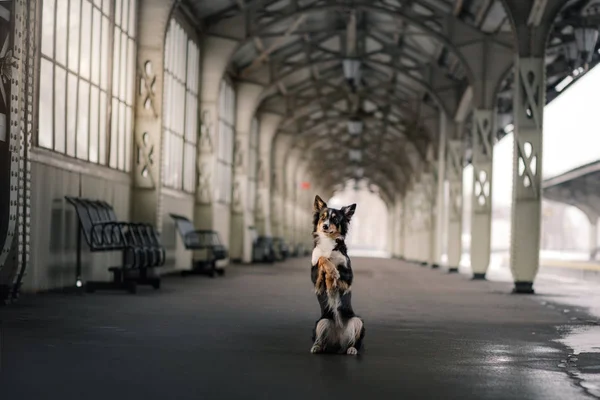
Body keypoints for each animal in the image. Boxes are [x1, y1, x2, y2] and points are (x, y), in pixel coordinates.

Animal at [310, 195, 366, 354]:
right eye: (323, 217)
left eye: (335, 219)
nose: (325, 226)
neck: (328, 241)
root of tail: (338, 340)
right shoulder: (316, 279)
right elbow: (322, 258)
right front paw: (331, 272)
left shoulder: (347, 279)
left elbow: (336, 272)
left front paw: (333, 275)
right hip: (322, 321)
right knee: (322, 341)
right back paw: (317, 346)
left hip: (357, 320)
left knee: (354, 342)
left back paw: (352, 349)